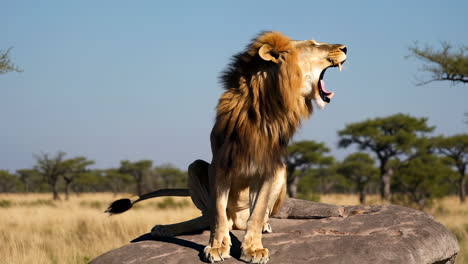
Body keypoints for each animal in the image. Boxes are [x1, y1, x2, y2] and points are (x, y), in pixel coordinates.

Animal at [107, 32, 348, 262]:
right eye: (314, 44)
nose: (346, 47)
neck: (267, 106)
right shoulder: (221, 164)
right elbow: (218, 213)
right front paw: (217, 247)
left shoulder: (268, 166)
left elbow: (257, 212)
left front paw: (253, 248)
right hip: (195, 167)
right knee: (207, 216)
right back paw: (166, 229)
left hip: (281, 169)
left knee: (253, 216)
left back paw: (263, 226)